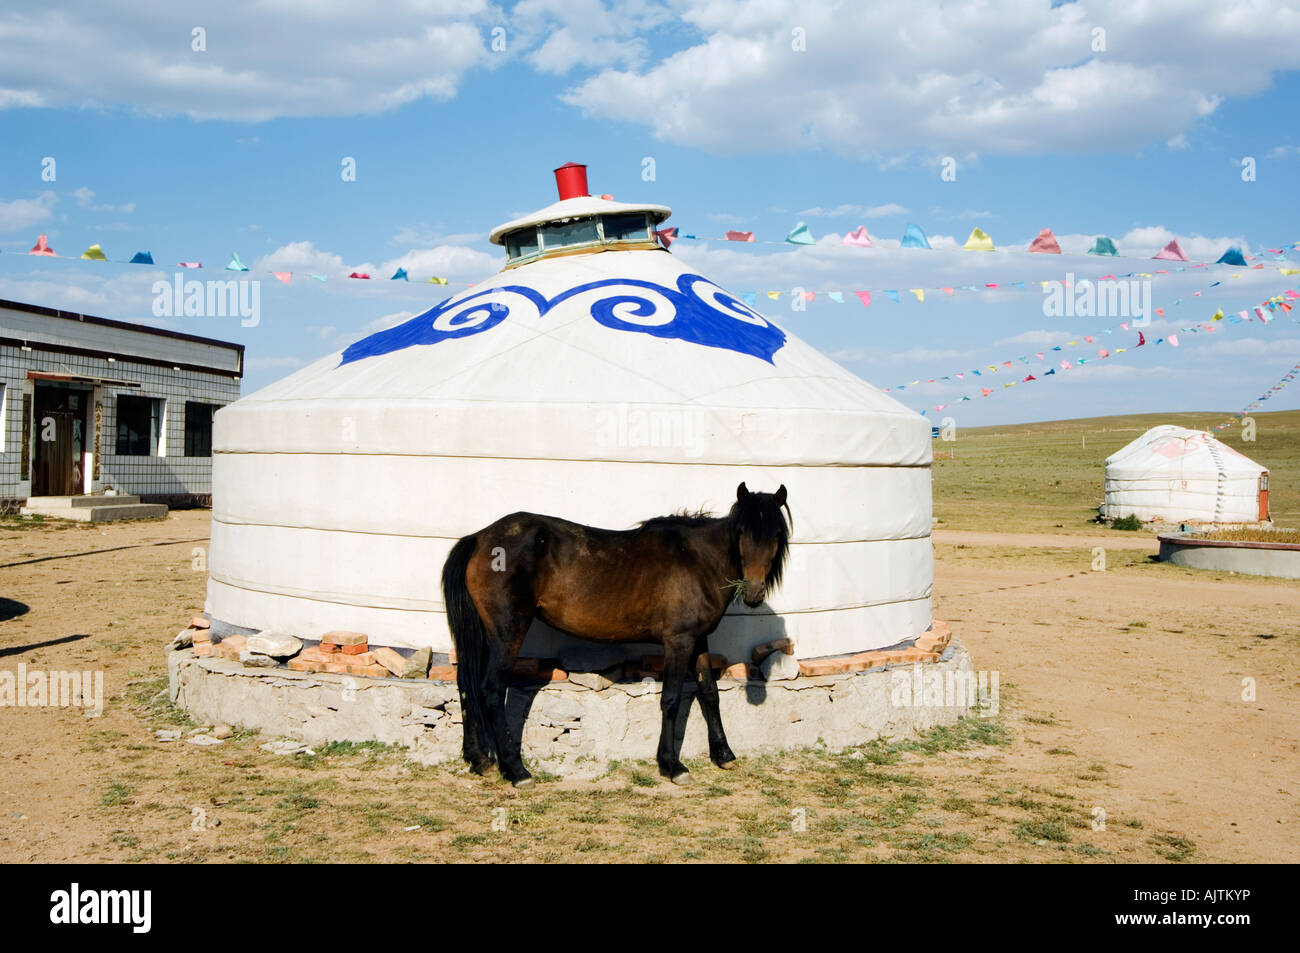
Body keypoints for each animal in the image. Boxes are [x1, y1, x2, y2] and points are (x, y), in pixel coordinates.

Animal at [441, 482, 791, 788]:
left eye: (776, 534)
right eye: (742, 532)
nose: (753, 592)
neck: (698, 560)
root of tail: (479, 538)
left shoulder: (698, 641)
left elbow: (709, 694)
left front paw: (724, 754)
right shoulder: (678, 642)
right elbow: (671, 699)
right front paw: (671, 765)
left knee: (467, 684)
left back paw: (480, 760)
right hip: (507, 632)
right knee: (490, 690)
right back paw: (515, 770)